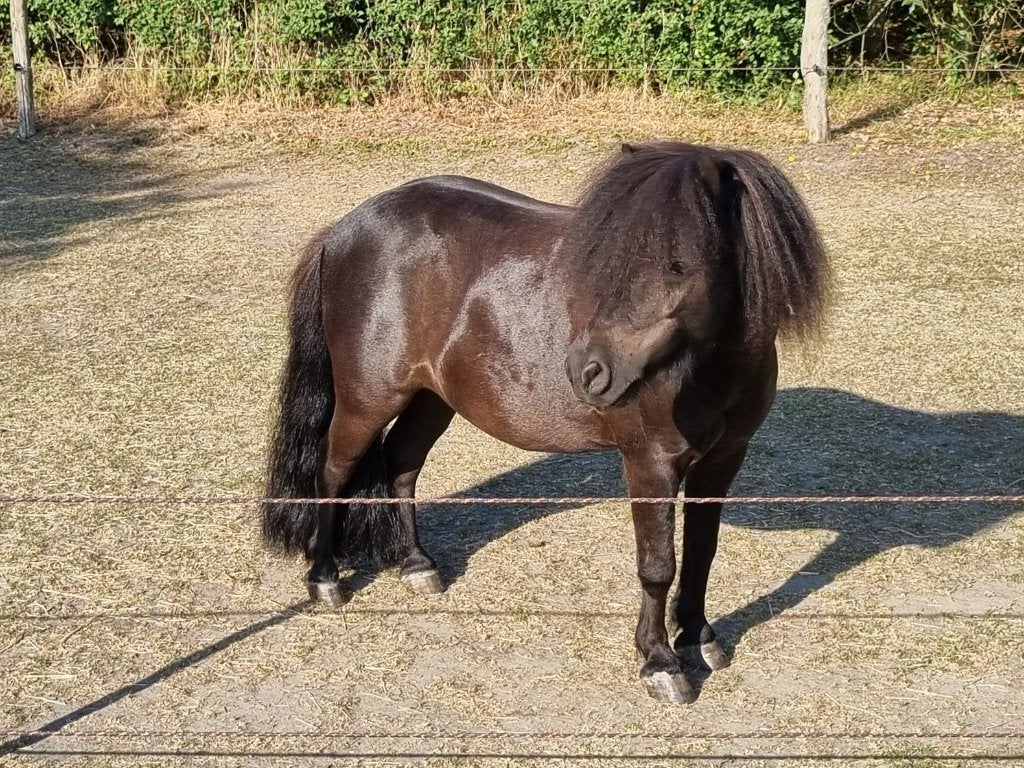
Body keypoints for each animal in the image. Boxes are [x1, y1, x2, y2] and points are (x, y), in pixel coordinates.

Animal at [260, 140, 830, 703]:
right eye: (610, 260)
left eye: (677, 264)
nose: (587, 371)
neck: (707, 368)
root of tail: (343, 230)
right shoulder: (650, 464)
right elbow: (658, 565)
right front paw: (660, 662)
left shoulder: (724, 460)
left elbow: (701, 552)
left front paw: (697, 637)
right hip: (368, 399)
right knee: (333, 474)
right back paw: (325, 578)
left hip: (432, 397)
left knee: (401, 464)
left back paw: (417, 565)